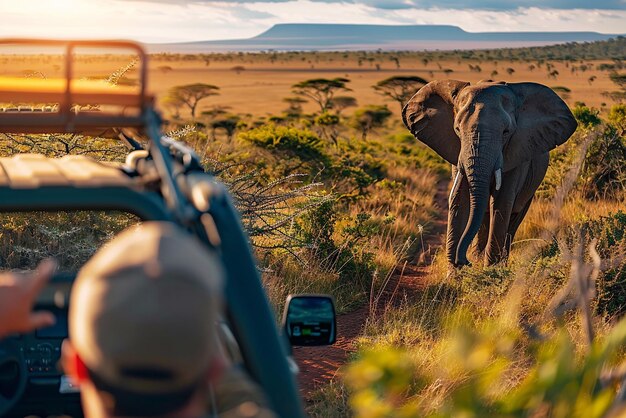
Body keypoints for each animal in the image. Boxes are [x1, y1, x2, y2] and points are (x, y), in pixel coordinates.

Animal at [400, 79, 576, 268]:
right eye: (457, 129)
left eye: (506, 132)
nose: (464, 261)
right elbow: (460, 199)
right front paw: (455, 272)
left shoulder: (517, 154)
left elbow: (502, 203)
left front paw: (491, 270)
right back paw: (478, 256)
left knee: (514, 217)